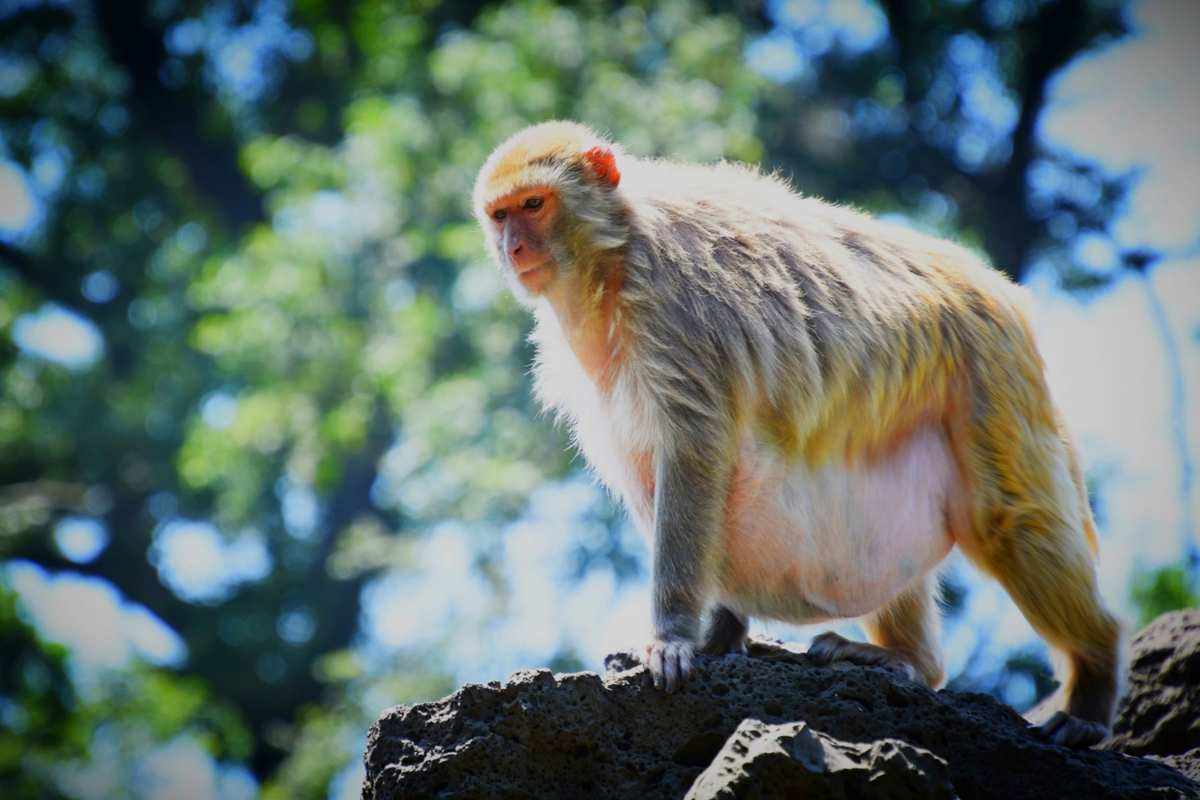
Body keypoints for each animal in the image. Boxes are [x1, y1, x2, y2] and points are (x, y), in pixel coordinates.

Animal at [470, 120, 1123, 753]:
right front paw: (719, 634)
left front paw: (675, 635)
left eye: (535, 204)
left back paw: (1092, 683)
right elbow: (667, 471)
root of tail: (999, 287)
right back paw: (909, 660)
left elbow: (695, 454)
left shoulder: (671, 313)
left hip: (990, 366)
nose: (514, 247)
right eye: (501, 215)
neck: (611, 256)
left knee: (1008, 517)